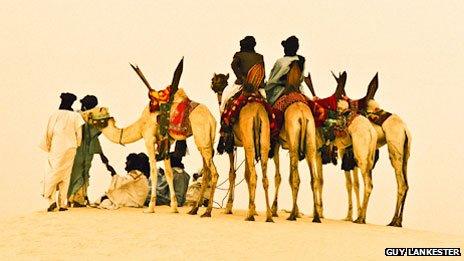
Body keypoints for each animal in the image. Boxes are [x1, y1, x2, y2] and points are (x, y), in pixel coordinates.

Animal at [211, 71, 274, 221]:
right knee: (263, 177)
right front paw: (254, 208)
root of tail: (257, 113)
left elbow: (232, 173)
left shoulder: (230, 144)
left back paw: (250, 215)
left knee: (254, 176)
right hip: (261, 142)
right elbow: (246, 173)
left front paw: (228, 207)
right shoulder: (246, 145)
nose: (213, 86)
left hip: (247, 140)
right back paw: (268, 215)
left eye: (214, 80)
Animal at [340, 72, 414, 225]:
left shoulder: (346, 154)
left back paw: (390, 220)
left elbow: (350, 184)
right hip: (405, 155)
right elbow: (355, 183)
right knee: (406, 184)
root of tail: (404, 130)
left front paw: (350, 217)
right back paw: (398, 221)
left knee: (401, 184)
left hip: (394, 151)